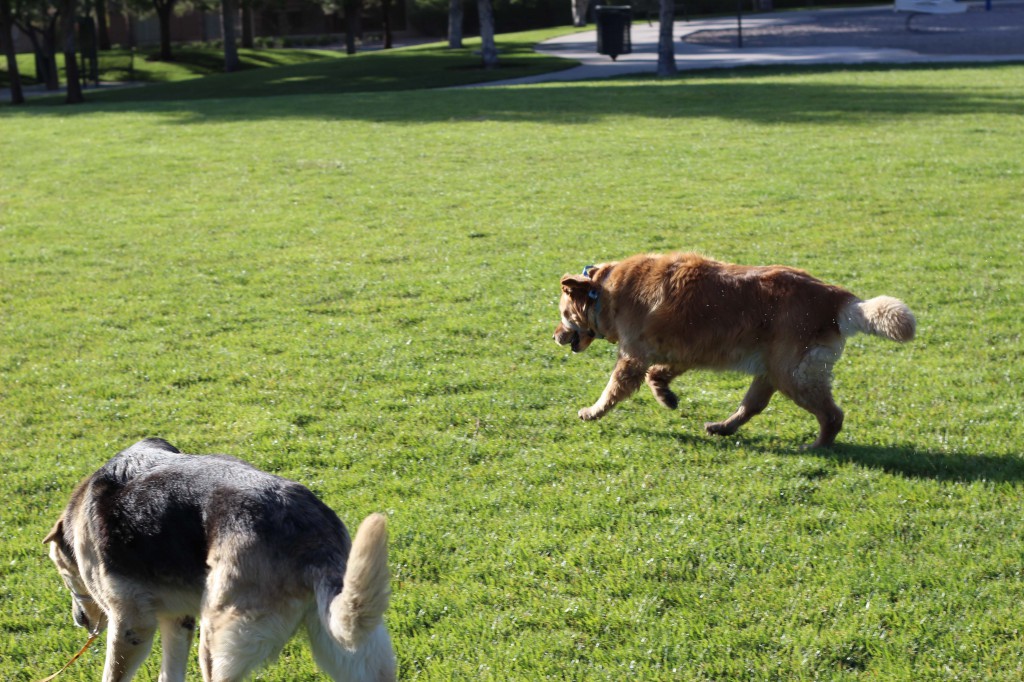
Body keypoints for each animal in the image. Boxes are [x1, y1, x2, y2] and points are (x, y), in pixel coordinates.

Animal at [45, 436, 395, 679]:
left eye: (64, 576)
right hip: (352, 649)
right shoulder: (178, 620)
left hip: (215, 648)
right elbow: (169, 674)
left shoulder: (131, 626)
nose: (79, 621)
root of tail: (313, 539)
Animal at [557, 249, 917, 446]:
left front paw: (592, 412)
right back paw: (722, 427)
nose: (556, 336)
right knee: (752, 406)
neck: (603, 291)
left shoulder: (632, 358)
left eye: (563, 314)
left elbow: (613, 389)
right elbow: (657, 374)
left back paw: (815, 447)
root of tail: (838, 298)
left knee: (832, 415)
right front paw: (666, 396)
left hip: (793, 375)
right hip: (772, 371)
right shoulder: (683, 352)